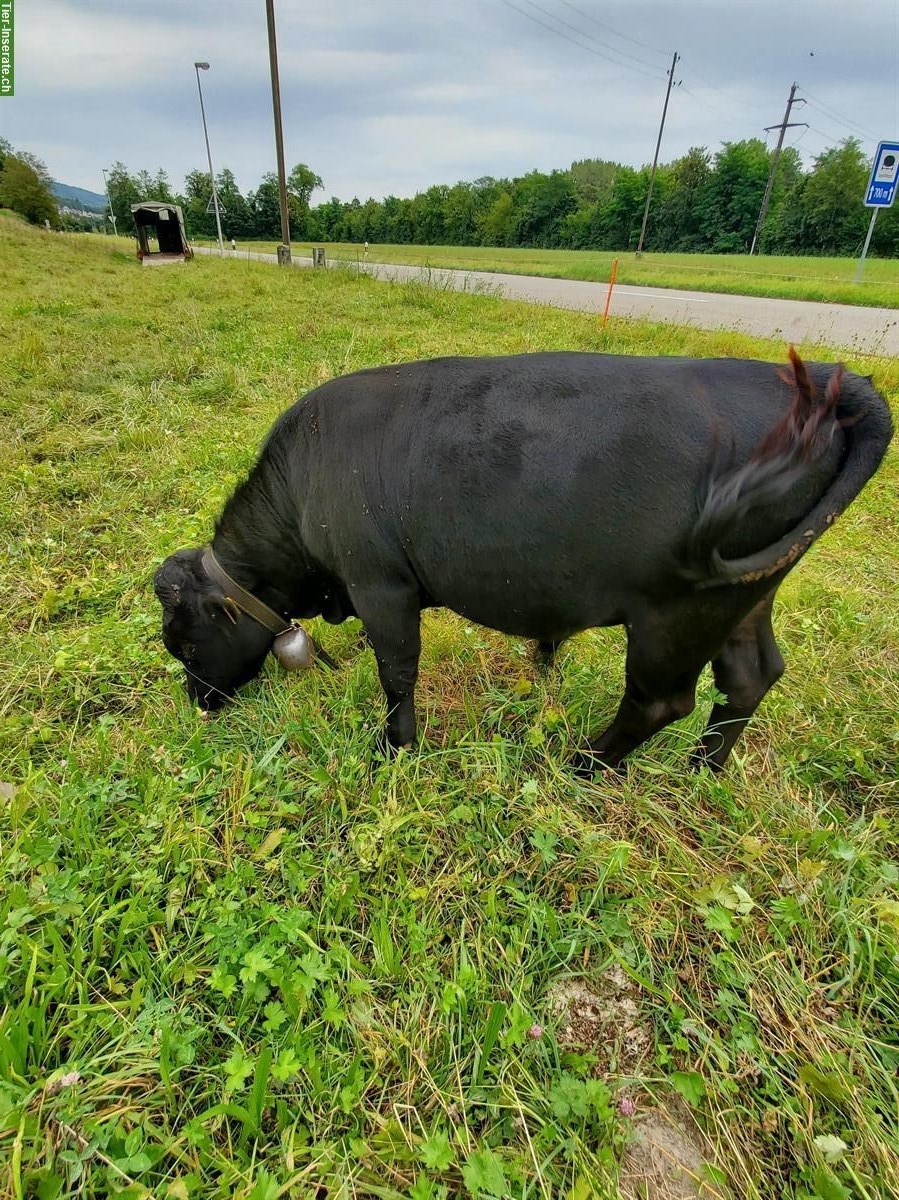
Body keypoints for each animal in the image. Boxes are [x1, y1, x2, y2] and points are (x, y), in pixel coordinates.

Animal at [154, 350, 892, 772]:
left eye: (186, 646)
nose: (197, 703)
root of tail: (818, 381)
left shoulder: (380, 583)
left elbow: (397, 672)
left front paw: (394, 748)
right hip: (744, 595)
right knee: (748, 677)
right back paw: (701, 769)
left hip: (677, 611)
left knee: (661, 700)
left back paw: (588, 765)